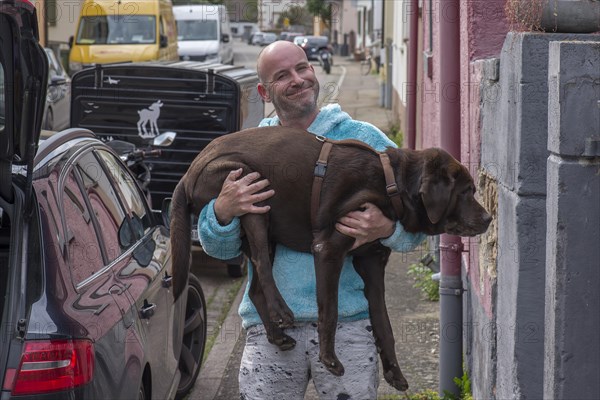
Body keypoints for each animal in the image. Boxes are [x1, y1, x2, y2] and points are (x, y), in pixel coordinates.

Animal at [169, 126, 492, 390]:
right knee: (261, 264)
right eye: (466, 192)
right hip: (248, 193)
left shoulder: (372, 264)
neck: (391, 184)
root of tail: (189, 171)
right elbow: (331, 310)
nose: (489, 218)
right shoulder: (328, 249)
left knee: (256, 287)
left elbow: (384, 323)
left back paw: (277, 335)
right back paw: (283, 312)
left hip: (263, 223)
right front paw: (328, 359)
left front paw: (394, 372)